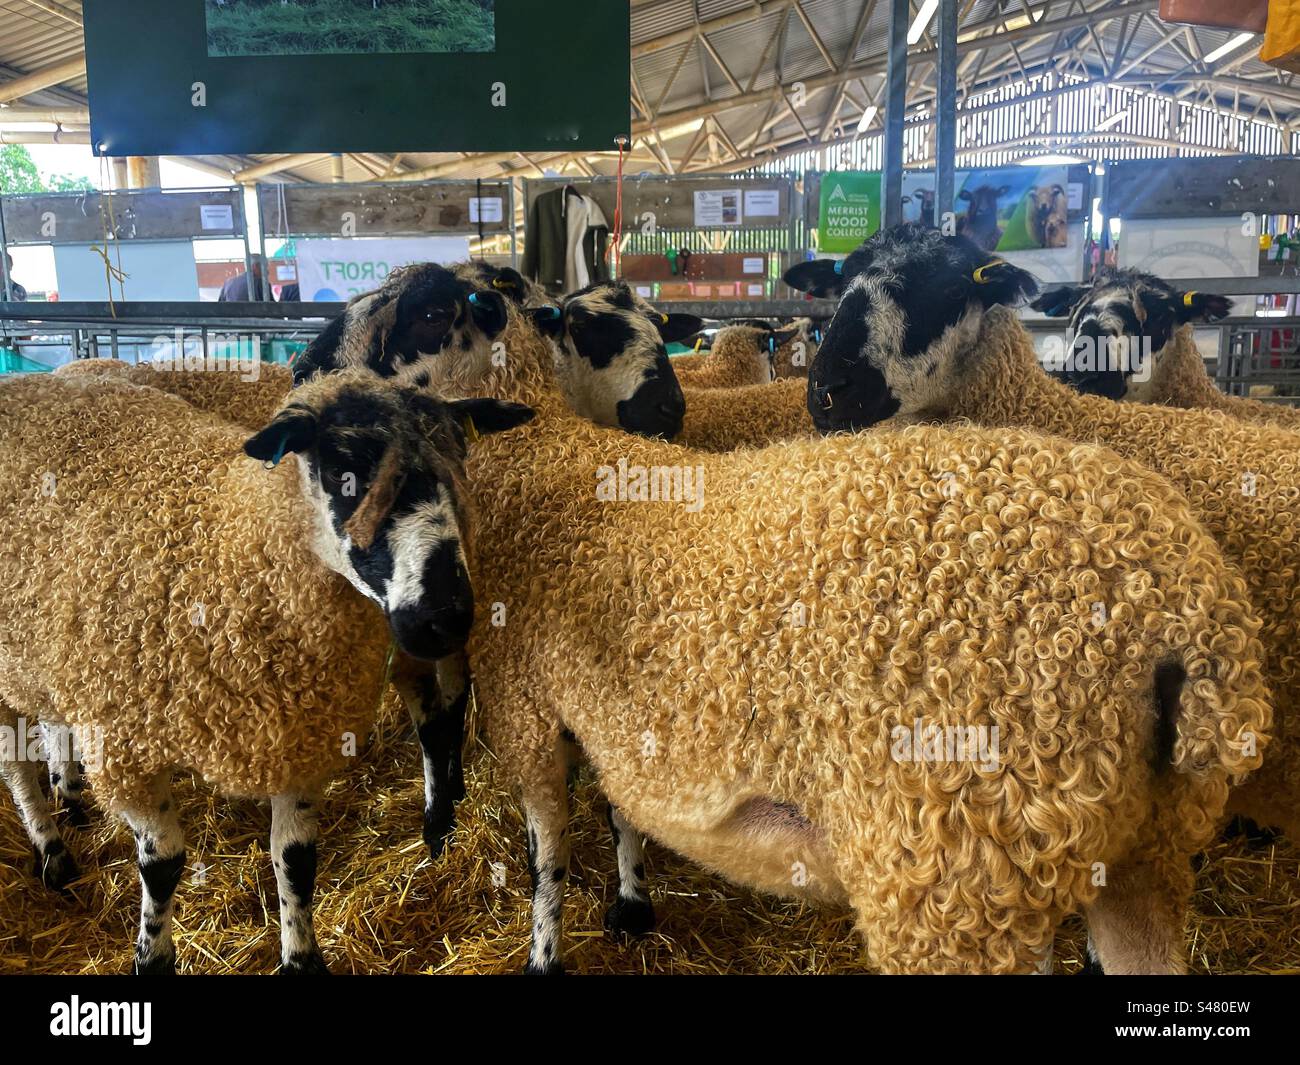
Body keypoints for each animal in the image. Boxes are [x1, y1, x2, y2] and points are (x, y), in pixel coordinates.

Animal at [0, 371, 530, 972]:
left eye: (457, 460)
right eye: (342, 470)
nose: (446, 617)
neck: (233, 548)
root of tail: (28, 380)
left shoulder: (298, 735)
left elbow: (296, 861)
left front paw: (301, 958)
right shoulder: (126, 750)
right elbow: (163, 865)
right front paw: (152, 956)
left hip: (45, 649)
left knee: (49, 716)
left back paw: (69, 798)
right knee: (14, 763)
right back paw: (52, 850)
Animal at [297, 263, 1268, 972]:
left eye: (418, 313)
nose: (304, 371)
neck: (543, 459)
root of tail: (1191, 613)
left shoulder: (529, 710)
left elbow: (547, 859)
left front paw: (547, 955)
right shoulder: (609, 720)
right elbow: (619, 813)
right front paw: (631, 904)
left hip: (956, 876)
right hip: (1141, 853)